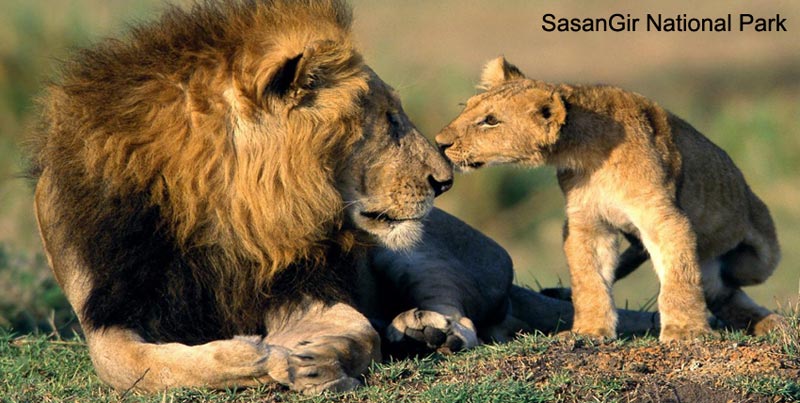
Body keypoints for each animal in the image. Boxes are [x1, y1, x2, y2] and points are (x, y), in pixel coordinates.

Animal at [435, 57, 784, 342]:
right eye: (466, 107)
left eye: (491, 121)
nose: (440, 143)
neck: (587, 153)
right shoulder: (587, 223)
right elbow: (589, 280)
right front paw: (590, 331)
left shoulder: (664, 217)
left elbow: (680, 276)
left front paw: (685, 331)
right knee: (720, 293)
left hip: (759, 259)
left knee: (726, 283)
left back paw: (771, 322)